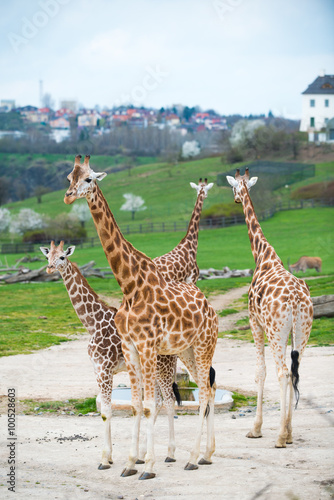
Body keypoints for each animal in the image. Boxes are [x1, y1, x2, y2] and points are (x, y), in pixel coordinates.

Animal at [39, 242, 183, 468]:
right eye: (48, 257)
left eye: (62, 257)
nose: (50, 269)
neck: (92, 324)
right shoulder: (97, 369)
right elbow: (108, 410)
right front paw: (112, 457)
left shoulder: (104, 370)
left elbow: (106, 412)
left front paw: (105, 459)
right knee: (159, 401)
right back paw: (143, 455)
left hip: (164, 367)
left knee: (169, 401)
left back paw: (170, 453)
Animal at [64, 153, 219, 480]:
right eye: (69, 178)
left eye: (89, 178)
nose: (69, 196)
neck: (129, 285)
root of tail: (211, 309)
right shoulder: (130, 348)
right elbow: (136, 405)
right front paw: (129, 463)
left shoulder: (147, 347)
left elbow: (149, 405)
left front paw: (147, 465)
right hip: (186, 350)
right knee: (209, 388)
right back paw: (207, 454)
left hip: (203, 346)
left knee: (203, 394)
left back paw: (192, 458)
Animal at [227, 169, 314, 450]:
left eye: (233, 187)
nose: (236, 199)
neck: (262, 256)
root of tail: (296, 300)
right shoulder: (284, 333)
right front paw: (287, 431)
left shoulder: (255, 322)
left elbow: (260, 372)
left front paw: (256, 429)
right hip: (302, 330)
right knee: (295, 372)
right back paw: (288, 433)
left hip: (276, 331)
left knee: (283, 373)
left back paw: (279, 437)